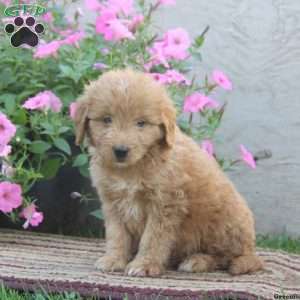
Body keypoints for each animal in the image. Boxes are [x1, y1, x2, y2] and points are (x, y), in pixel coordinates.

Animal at [74, 68, 264, 276]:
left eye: (141, 123)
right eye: (107, 119)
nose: (121, 151)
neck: (134, 167)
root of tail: (251, 249)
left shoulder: (165, 204)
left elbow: (152, 238)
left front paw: (144, 264)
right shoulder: (113, 202)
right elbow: (117, 235)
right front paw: (113, 259)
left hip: (223, 224)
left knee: (226, 257)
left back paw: (198, 260)